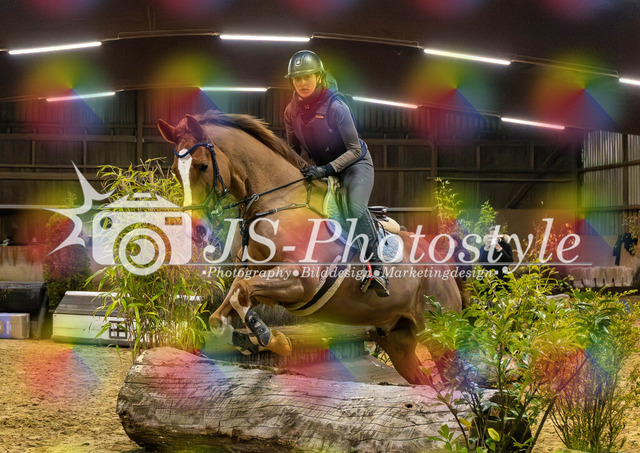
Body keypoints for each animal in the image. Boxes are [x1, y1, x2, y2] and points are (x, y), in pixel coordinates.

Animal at [158, 110, 462, 385]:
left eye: (202, 166)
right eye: (175, 171)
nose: (195, 229)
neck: (277, 201)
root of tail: (444, 268)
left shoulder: (302, 281)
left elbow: (241, 292)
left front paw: (272, 339)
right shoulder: (259, 278)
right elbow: (225, 309)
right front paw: (253, 339)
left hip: (440, 332)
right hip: (397, 337)